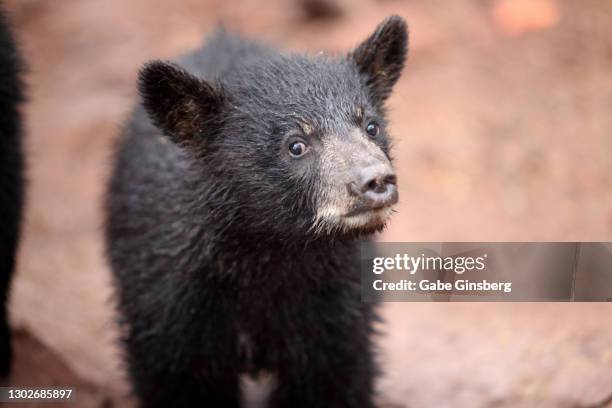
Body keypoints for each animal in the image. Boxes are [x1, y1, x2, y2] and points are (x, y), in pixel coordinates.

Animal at [107, 15, 408, 408]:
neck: (271, 252)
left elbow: (334, 380)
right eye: (296, 145)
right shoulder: (170, 306)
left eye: (371, 127)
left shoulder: (335, 312)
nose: (376, 181)